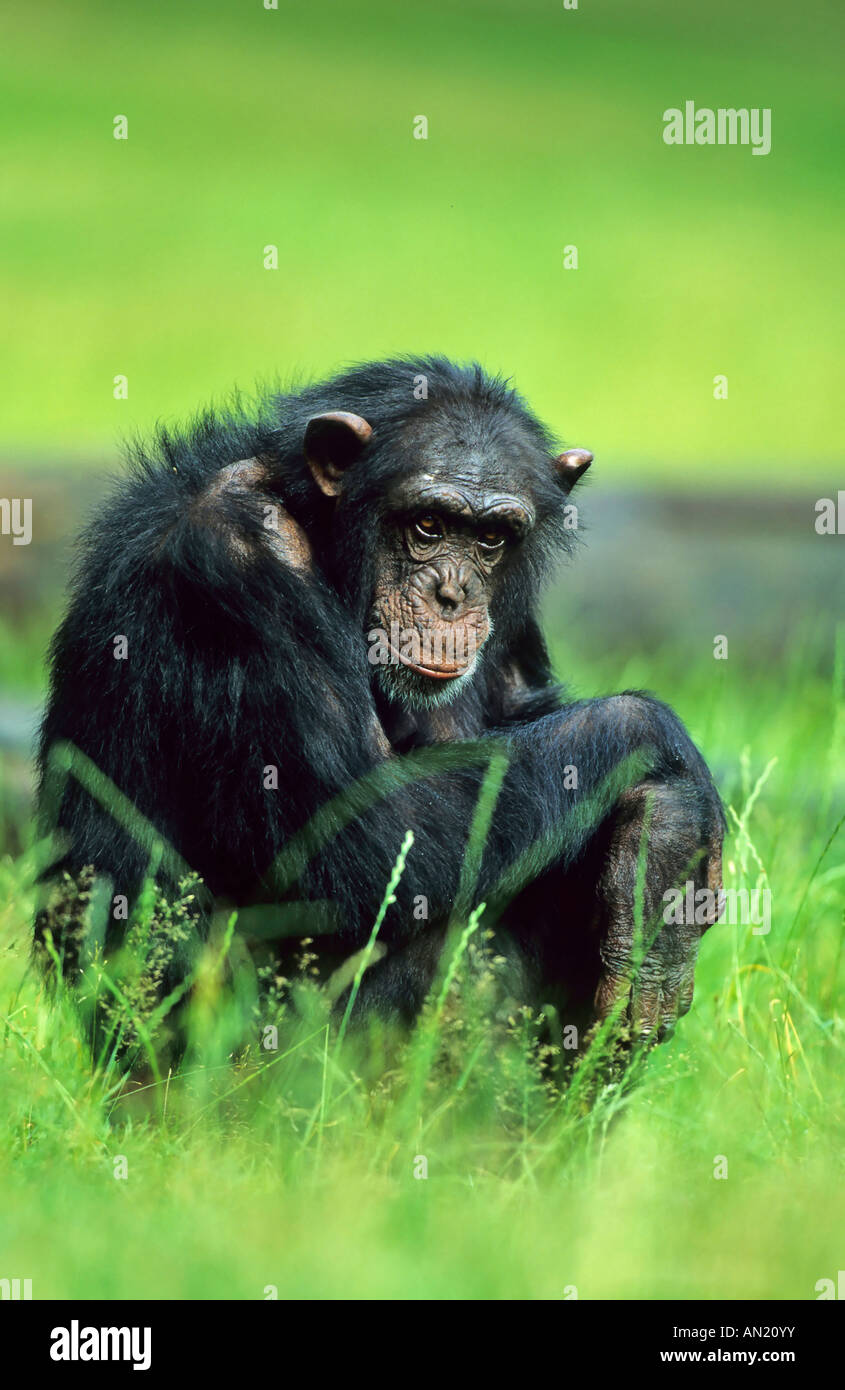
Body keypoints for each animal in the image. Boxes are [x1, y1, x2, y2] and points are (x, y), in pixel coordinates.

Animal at [36, 358, 722, 1045]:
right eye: (428, 525)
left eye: (492, 538)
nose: (453, 593)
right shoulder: (236, 559)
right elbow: (367, 837)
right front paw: (671, 790)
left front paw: (661, 873)